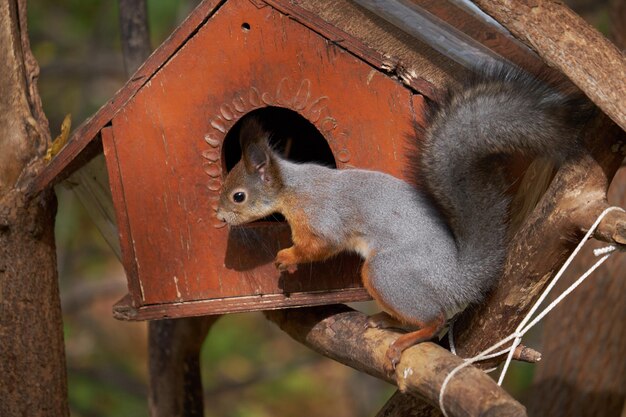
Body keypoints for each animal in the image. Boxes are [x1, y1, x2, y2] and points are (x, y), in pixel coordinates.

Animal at [214, 64, 588, 374]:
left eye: (238, 196)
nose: (219, 216)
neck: (293, 189)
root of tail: (456, 278)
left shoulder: (323, 218)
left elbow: (320, 247)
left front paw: (287, 257)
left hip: (386, 273)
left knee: (434, 320)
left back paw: (405, 338)